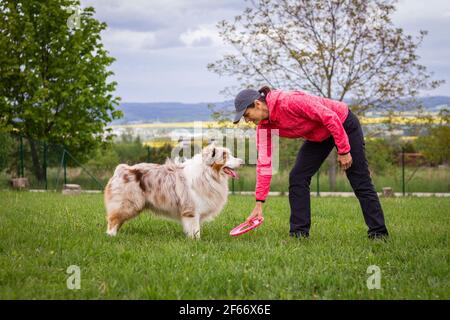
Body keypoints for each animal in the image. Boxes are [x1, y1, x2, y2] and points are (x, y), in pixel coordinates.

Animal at [103, 144, 243, 239]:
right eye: (224, 156)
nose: (242, 162)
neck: (207, 173)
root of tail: (122, 169)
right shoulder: (191, 210)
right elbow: (194, 228)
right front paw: (196, 242)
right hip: (129, 204)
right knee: (113, 219)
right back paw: (111, 236)